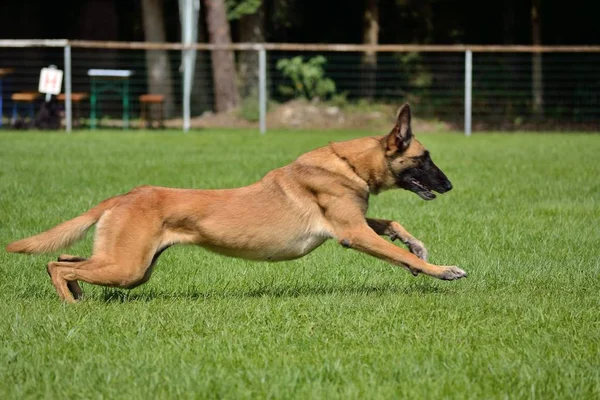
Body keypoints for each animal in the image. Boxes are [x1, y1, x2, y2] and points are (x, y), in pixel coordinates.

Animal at [4, 104, 466, 304]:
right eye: (425, 158)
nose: (449, 184)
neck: (347, 163)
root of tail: (128, 193)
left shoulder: (356, 221)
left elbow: (392, 224)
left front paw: (417, 247)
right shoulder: (350, 232)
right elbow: (395, 247)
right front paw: (442, 270)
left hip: (129, 265)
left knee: (66, 258)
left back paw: (78, 296)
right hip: (127, 267)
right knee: (57, 264)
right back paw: (70, 304)